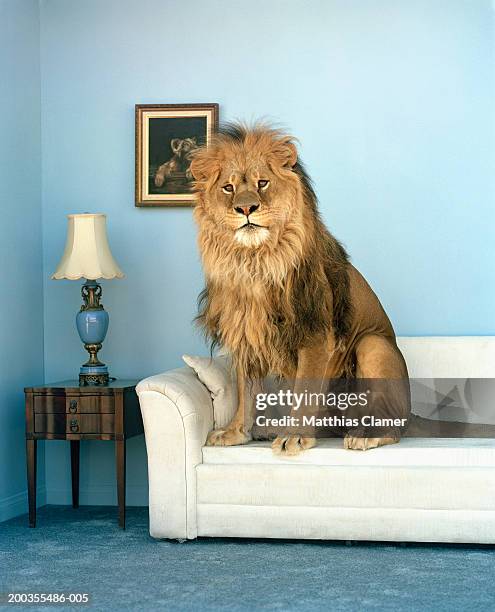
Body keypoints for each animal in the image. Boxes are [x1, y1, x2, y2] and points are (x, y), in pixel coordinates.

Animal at [191, 122, 410, 454]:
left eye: (263, 183)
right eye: (228, 188)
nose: (246, 208)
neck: (255, 261)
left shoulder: (315, 333)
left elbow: (304, 389)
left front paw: (294, 435)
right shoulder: (246, 330)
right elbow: (246, 390)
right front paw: (236, 432)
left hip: (372, 344)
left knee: (393, 426)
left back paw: (365, 434)